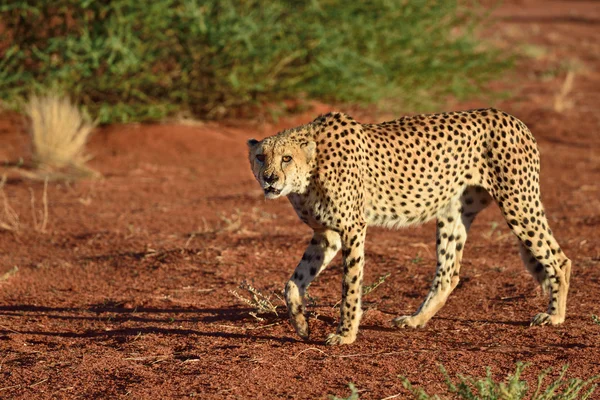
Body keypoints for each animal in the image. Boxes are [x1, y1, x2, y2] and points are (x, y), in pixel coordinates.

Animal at [247, 108, 572, 344]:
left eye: (286, 158)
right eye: (261, 157)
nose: (270, 178)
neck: (311, 167)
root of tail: (511, 117)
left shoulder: (353, 229)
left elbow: (350, 286)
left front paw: (345, 334)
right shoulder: (326, 235)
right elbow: (293, 282)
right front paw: (301, 324)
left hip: (518, 202)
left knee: (559, 259)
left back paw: (554, 315)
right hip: (453, 213)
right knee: (448, 273)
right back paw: (416, 320)